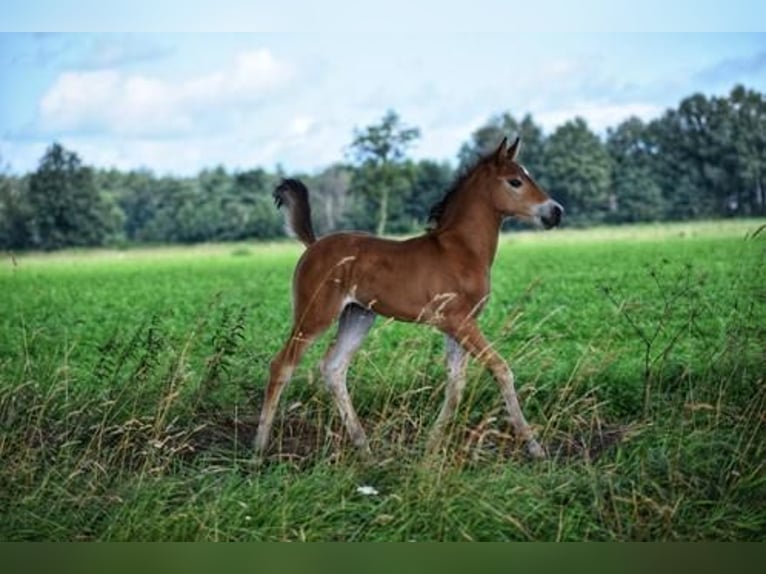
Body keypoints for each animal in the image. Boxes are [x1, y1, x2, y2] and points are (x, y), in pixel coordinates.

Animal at [256, 136, 564, 464]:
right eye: (515, 181)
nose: (556, 211)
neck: (460, 250)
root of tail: (313, 245)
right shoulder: (459, 322)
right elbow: (501, 370)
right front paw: (535, 447)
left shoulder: (458, 325)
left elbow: (456, 384)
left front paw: (430, 446)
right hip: (315, 314)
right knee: (282, 365)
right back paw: (259, 449)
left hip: (358, 316)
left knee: (333, 369)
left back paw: (365, 450)